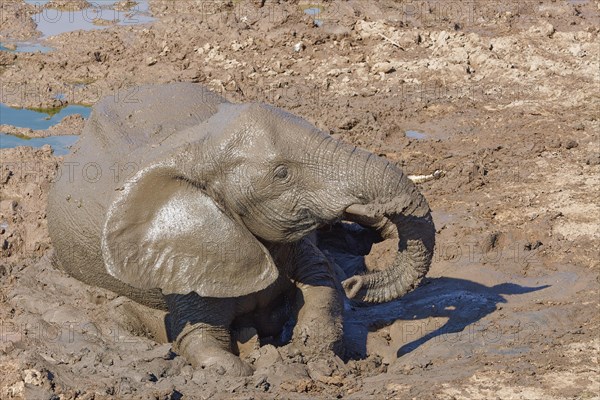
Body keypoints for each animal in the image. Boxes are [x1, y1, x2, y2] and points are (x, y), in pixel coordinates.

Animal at [45, 83, 432, 376]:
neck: (198, 147)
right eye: (282, 173)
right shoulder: (184, 265)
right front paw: (253, 361)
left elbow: (322, 287)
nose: (358, 283)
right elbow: (202, 344)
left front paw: (308, 351)